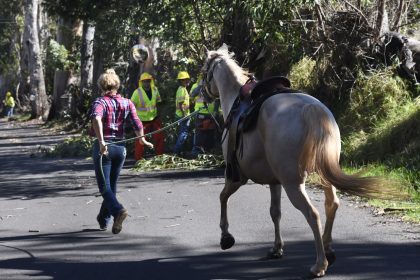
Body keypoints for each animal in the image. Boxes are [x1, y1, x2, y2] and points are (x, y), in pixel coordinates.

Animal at [202, 44, 396, 276]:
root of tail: (312, 109)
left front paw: (226, 237)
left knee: (312, 214)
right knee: (332, 204)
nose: (201, 93)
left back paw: (319, 264)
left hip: (293, 183)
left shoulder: (236, 177)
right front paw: (276, 248)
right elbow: (275, 212)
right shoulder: (274, 181)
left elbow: (223, 197)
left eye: (204, 70)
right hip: (322, 175)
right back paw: (328, 249)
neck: (236, 100)